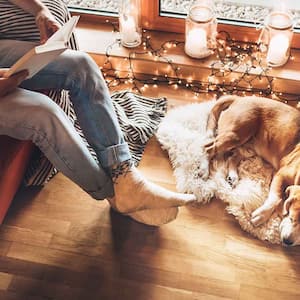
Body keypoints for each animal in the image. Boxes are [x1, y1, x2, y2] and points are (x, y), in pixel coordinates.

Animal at [205, 95, 300, 246]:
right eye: (291, 218)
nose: (287, 241)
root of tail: (240, 98)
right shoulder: (281, 174)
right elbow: (276, 198)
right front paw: (260, 216)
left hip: (249, 147)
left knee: (232, 157)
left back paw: (233, 176)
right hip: (236, 134)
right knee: (208, 149)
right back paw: (203, 170)